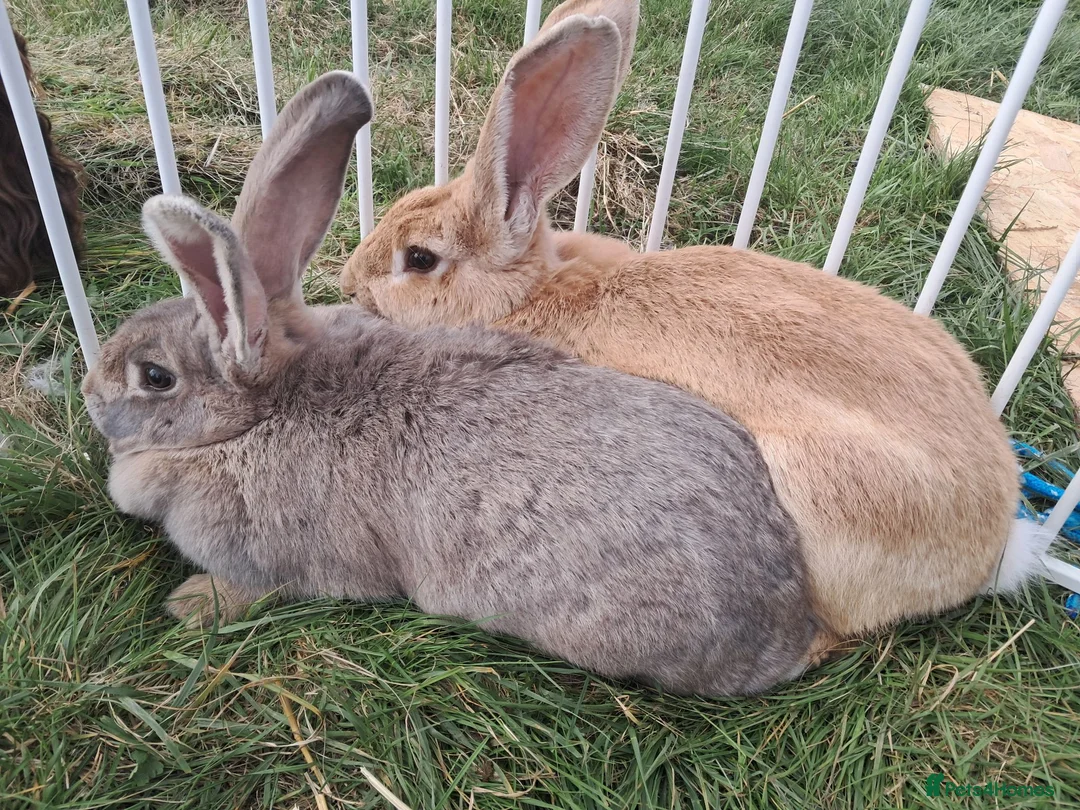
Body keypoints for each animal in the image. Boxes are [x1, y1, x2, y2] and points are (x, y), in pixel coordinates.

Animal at [81, 70, 821, 697]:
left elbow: (258, 589)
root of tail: (787, 629)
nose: (89, 393)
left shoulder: (278, 559)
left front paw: (190, 605)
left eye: (154, 377)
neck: (253, 418)